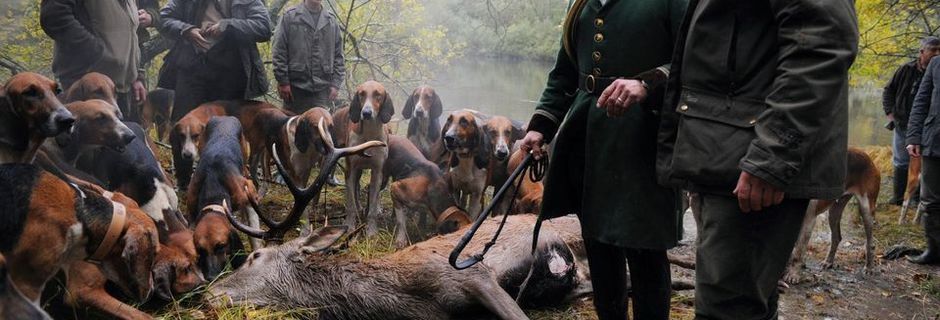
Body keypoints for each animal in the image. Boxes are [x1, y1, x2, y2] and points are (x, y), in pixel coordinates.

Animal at [342, 80, 392, 235]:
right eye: (361, 94)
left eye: (378, 94)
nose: (366, 113)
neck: (369, 135)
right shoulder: (350, 170)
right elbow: (350, 204)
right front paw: (350, 226)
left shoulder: (377, 171)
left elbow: (373, 208)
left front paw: (372, 231)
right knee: (356, 189)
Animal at [784, 147, 880, 282]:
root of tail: (866, 155)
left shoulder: (809, 220)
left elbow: (798, 251)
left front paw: (793, 275)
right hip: (834, 212)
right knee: (836, 237)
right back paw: (828, 262)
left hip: (866, 211)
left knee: (870, 243)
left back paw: (869, 267)